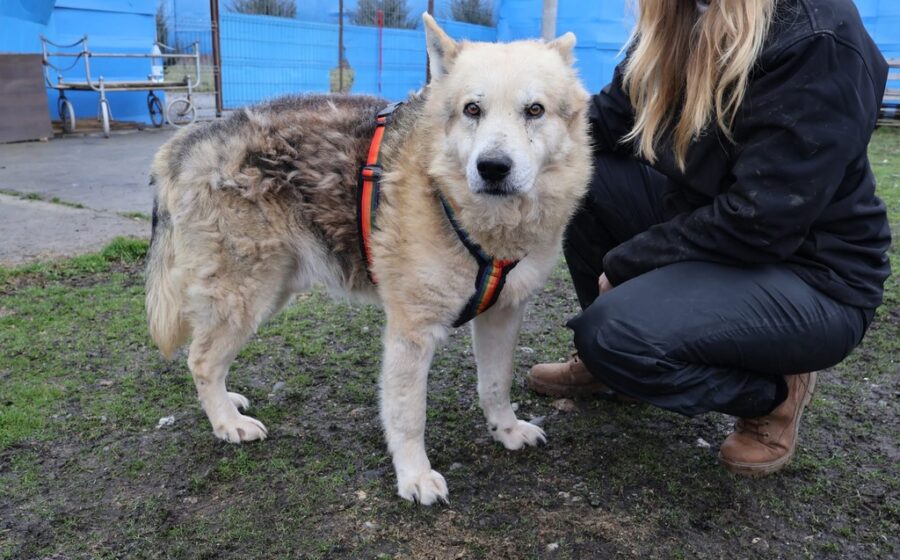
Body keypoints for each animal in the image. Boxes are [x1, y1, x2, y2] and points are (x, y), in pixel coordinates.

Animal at [145, 14, 591, 505]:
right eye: (472, 109)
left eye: (535, 110)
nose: (492, 168)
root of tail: (191, 138)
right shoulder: (411, 333)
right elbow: (408, 414)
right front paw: (414, 476)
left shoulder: (504, 313)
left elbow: (496, 384)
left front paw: (506, 430)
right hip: (246, 296)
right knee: (201, 360)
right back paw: (227, 422)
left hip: (272, 288)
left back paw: (229, 403)